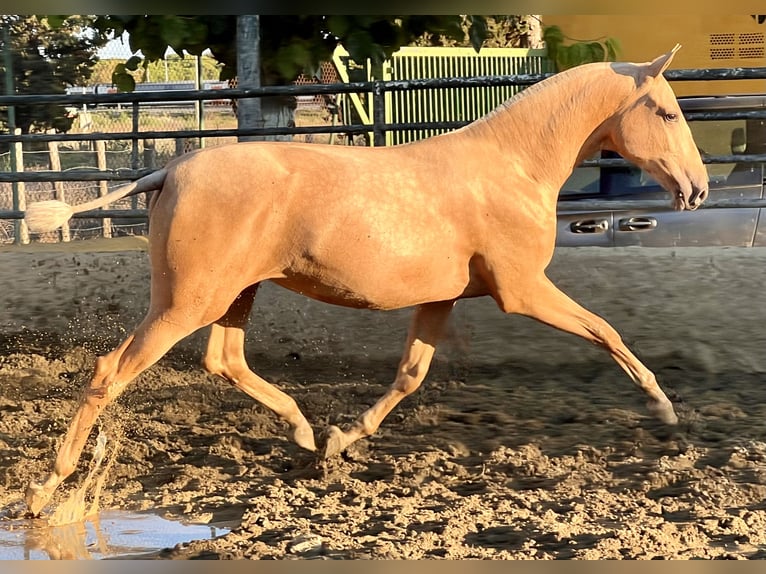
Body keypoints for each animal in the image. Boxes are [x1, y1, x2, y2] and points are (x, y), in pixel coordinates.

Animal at [22, 44, 708, 512]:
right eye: (668, 114)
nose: (697, 190)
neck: (513, 166)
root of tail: (170, 170)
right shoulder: (522, 291)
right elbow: (606, 331)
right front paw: (664, 408)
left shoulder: (442, 299)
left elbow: (410, 374)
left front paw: (344, 438)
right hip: (188, 300)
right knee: (111, 372)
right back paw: (45, 492)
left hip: (233, 293)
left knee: (225, 359)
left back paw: (305, 433)